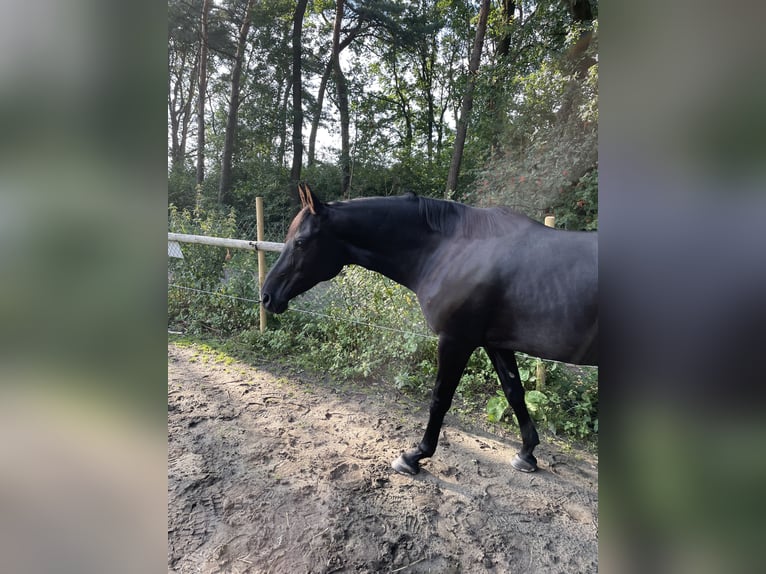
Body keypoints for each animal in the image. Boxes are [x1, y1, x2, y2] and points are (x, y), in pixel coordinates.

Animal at [264, 184, 600, 476]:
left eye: (300, 242)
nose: (267, 295)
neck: (451, 249)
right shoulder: (496, 343)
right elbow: (514, 392)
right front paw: (527, 452)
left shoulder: (455, 341)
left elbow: (440, 399)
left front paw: (415, 455)